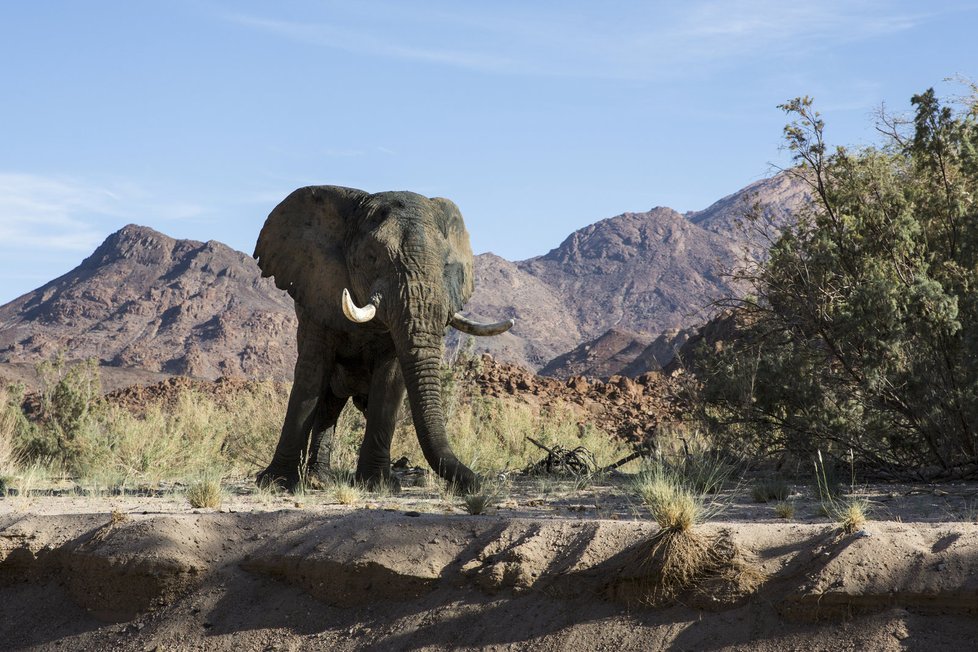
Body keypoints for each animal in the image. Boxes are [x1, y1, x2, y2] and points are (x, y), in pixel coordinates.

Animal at [252, 187, 510, 494]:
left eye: (446, 265)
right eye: (372, 256)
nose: (481, 483)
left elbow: (390, 379)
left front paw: (378, 484)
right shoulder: (316, 293)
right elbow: (310, 373)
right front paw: (275, 483)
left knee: (337, 407)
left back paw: (324, 479)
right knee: (327, 403)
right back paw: (318, 480)